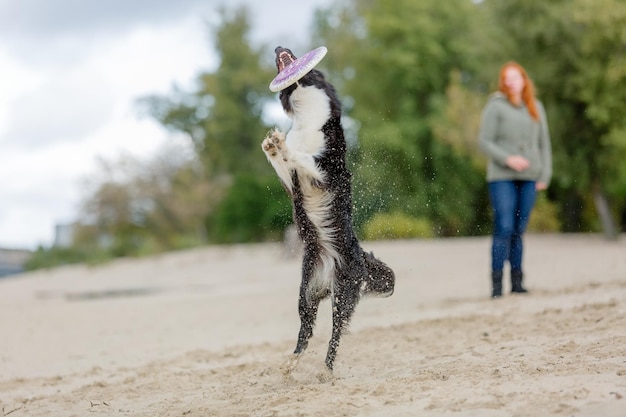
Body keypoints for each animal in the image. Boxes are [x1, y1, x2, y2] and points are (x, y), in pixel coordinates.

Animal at [260, 46, 392, 370]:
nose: (278, 47)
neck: (305, 118)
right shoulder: (292, 184)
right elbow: (282, 162)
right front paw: (272, 146)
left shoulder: (326, 172)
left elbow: (303, 156)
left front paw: (282, 145)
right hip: (305, 294)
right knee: (306, 330)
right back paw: (292, 363)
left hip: (342, 297)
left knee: (336, 334)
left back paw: (327, 370)